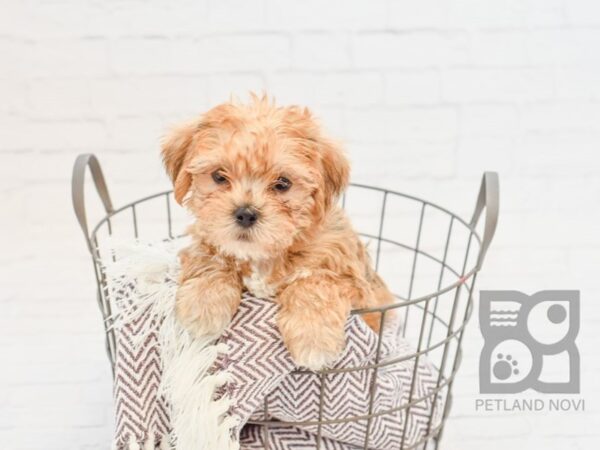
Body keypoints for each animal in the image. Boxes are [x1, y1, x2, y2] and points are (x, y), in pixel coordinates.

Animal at [161, 95, 394, 370]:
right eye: (219, 176)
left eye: (283, 184)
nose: (245, 214)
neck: (264, 256)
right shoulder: (206, 239)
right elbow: (210, 257)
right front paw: (204, 303)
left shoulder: (357, 287)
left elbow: (316, 281)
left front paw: (313, 336)